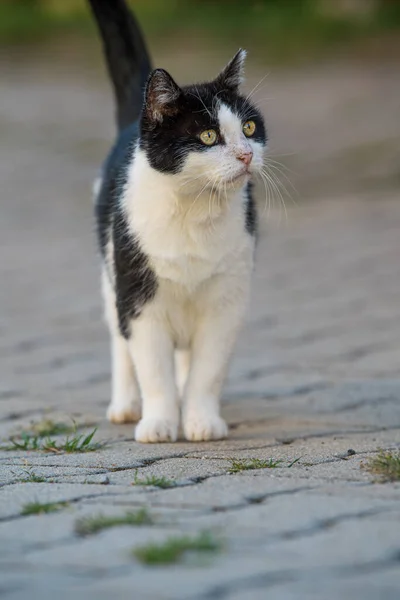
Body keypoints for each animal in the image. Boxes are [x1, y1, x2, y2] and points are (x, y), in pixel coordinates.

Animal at [89, 0, 268, 440]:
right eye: (207, 137)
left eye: (249, 127)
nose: (246, 155)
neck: (194, 214)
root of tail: (131, 124)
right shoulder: (138, 300)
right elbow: (153, 371)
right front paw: (159, 423)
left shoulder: (227, 303)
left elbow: (208, 371)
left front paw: (201, 420)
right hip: (110, 276)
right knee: (119, 344)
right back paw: (125, 405)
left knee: (186, 358)